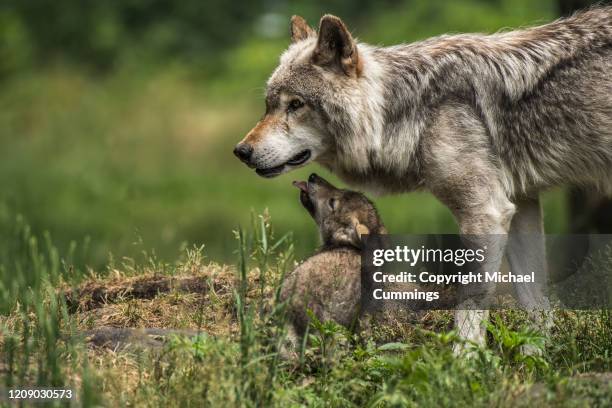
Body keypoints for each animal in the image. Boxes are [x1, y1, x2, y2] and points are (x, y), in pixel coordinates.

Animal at [234, 8, 612, 348]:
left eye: (296, 105)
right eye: (268, 106)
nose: (241, 151)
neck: (412, 112)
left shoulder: (485, 213)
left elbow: (469, 309)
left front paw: (463, 366)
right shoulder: (520, 205)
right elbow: (536, 309)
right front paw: (532, 364)